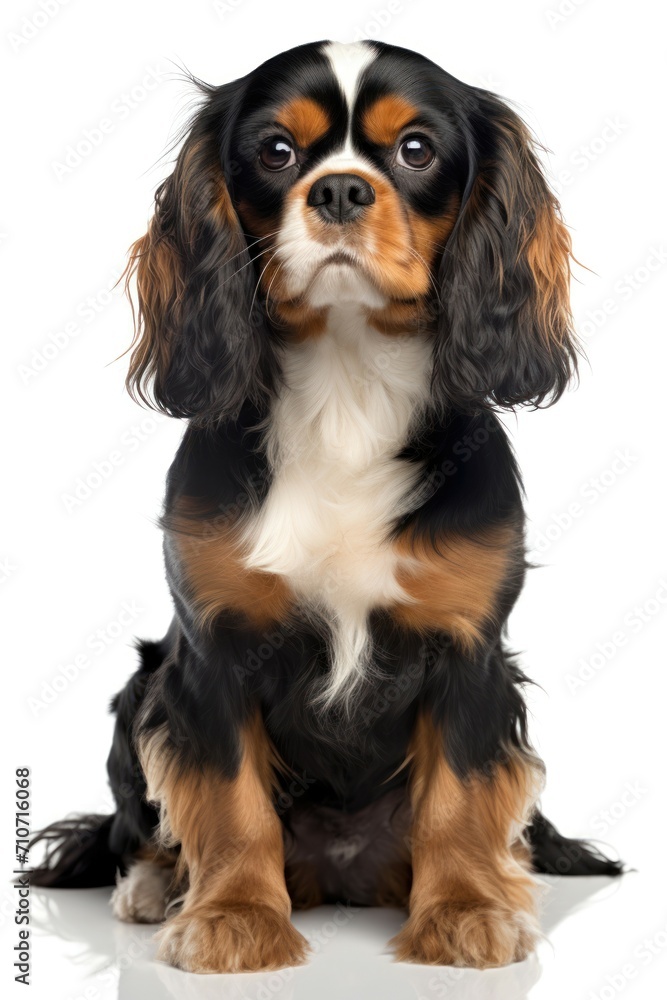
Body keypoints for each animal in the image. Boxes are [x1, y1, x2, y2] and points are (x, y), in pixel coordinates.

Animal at [34, 39, 624, 968]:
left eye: (415, 149)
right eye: (277, 151)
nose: (340, 189)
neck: (348, 385)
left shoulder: (470, 653)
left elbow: (458, 796)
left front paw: (464, 911)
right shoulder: (211, 653)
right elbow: (230, 801)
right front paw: (234, 917)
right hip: (144, 683)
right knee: (143, 820)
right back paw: (156, 885)